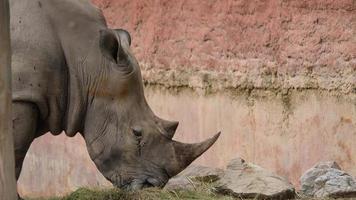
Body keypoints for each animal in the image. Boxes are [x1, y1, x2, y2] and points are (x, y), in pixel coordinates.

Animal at [9, 0, 218, 194]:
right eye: (136, 133)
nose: (152, 186)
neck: (88, 62)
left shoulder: (41, 97)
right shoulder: (22, 97)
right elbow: (16, 157)